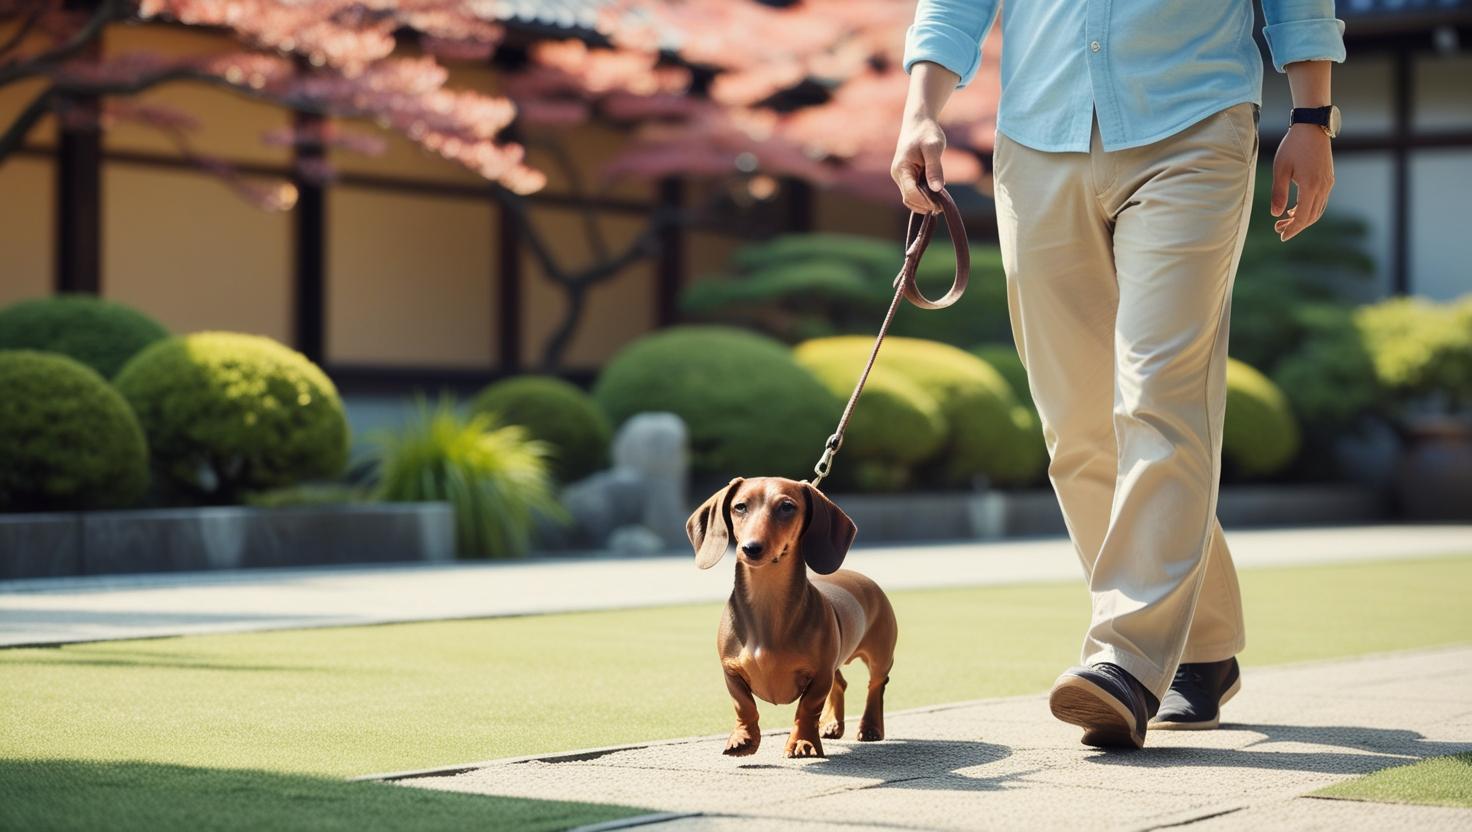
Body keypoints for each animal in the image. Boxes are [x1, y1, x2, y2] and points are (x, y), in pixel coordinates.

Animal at [685, 477, 894, 753]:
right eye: (740, 506)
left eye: (787, 507)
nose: (750, 548)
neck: (767, 603)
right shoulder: (731, 671)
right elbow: (744, 705)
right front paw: (743, 738)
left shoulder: (820, 675)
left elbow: (807, 708)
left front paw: (803, 742)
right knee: (840, 683)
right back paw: (832, 725)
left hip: (880, 656)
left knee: (876, 686)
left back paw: (870, 728)